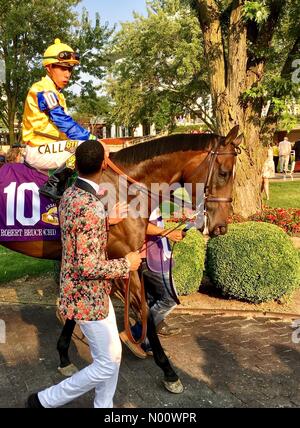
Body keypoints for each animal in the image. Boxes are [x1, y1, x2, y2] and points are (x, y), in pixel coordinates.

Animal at [1, 126, 243, 394]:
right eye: (223, 173)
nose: (221, 227)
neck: (124, 190)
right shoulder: (122, 257)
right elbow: (144, 308)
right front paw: (169, 371)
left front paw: (64, 355)